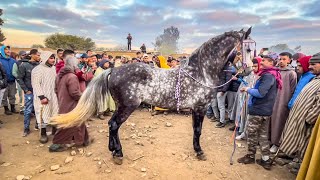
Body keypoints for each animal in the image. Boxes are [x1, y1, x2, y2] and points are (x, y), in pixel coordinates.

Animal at [51, 27, 252, 165]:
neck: (200, 72)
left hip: (121, 106)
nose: (248, 70)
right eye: (248, 49)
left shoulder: (197, 109)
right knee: (114, 125)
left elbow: (196, 130)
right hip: (127, 106)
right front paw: (199, 152)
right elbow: (198, 131)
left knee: (111, 125)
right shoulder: (200, 108)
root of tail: (113, 70)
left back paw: (113, 150)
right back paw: (118, 154)